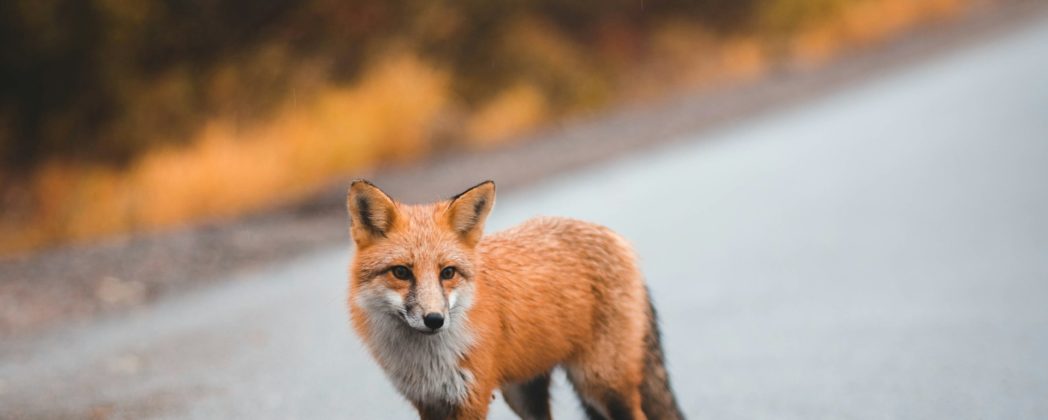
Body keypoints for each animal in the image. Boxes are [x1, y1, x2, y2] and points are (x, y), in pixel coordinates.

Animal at [346, 179, 683, 420]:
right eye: (401, 272)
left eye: (448, 272)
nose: (434, 320)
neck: (428, 360)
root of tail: (613, 235)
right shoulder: (429, 401)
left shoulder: (471, 399)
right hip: (524, 394)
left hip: (601, 382)